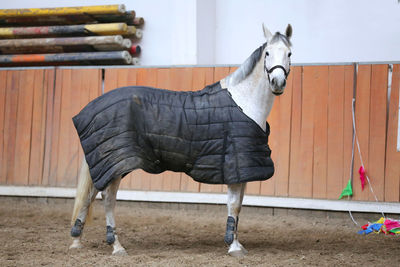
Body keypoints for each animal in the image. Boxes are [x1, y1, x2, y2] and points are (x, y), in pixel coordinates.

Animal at [69, 24, 292, 258]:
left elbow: (238, 206)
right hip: (116, 163)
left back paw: (76, 240)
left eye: (289, 54)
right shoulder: (234, 167)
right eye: (267, 53)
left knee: (90, 194)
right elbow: (233, 205)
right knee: (108, 198)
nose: (278, 83)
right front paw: (233, 247)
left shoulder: (243, 172)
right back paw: (116, 245)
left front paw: (237, 244)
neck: (244, 103)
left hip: (109, 164)